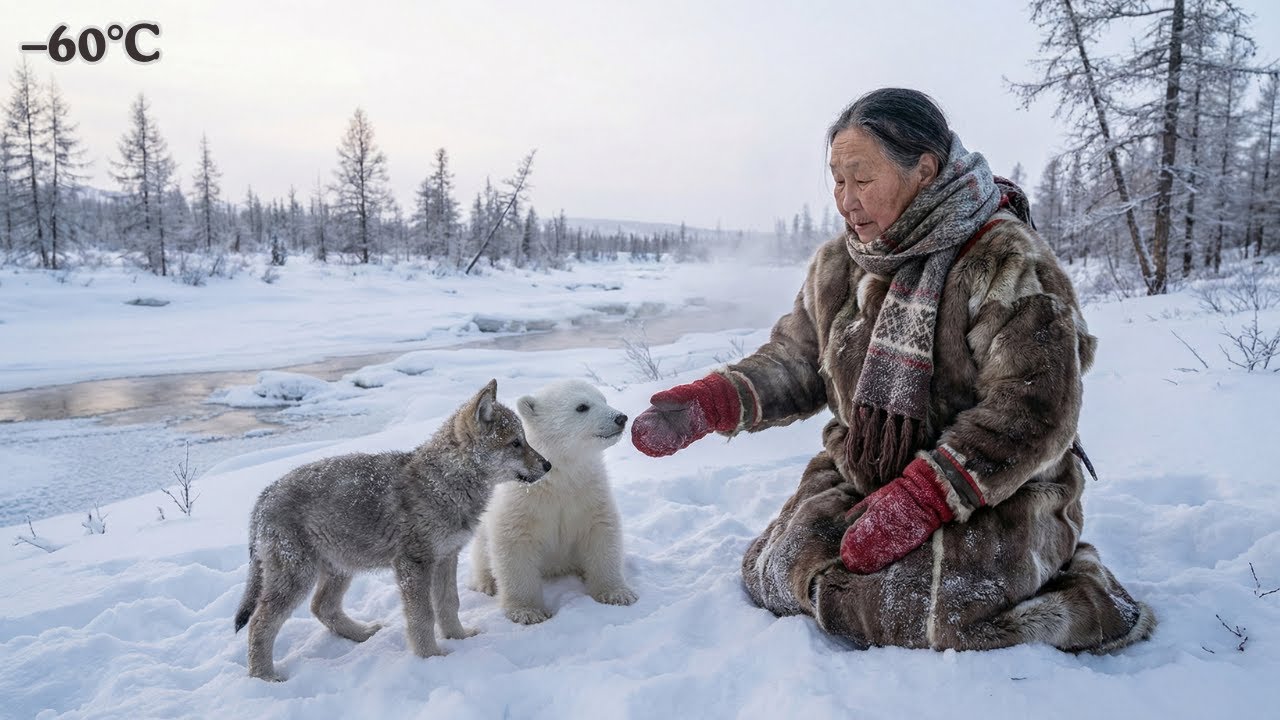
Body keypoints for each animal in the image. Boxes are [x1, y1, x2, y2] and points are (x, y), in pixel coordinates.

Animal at [233, 379, 549, 681]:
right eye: (515, 443)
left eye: (525, 440)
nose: (548, 465)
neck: (444, 483)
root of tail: (263, 497)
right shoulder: (414, 564)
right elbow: (423, 617)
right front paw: (431, 657)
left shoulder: (446, 558)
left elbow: (449, 604)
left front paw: (459, 639)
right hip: (299, 576)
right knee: (259, 623)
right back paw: (264, 676)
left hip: (340, 567)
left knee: (321, 607)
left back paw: (361, 634)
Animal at [469, 379, 639, 624]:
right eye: (582, 407)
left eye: (603, 399)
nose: (620, 418)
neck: (558, 477)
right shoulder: (522, 501)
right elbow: (514, 544)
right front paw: (528, 612)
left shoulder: (588, 491)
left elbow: (601, 530)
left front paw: (618, 594)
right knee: (481, 552)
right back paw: (486, 584)